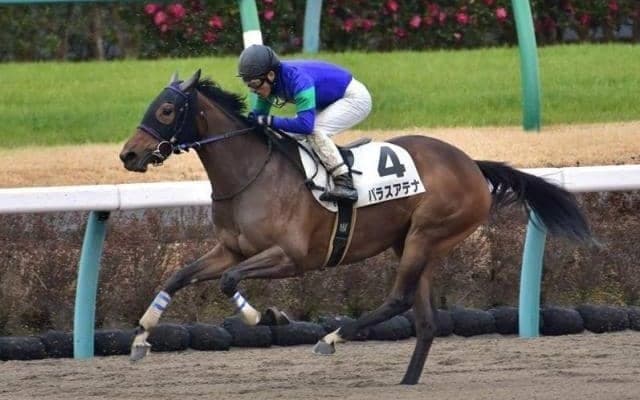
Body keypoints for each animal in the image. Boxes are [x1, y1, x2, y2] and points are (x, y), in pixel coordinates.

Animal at [119, 69, 593, 385]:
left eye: (166, 109)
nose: (129, 155)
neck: (251, 175)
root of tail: (471, 165)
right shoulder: (229, 250)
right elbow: (179, 276)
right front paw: (141, 338)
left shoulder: (290, 257)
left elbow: (229, 282)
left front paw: (266, 315)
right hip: (413, 242)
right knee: (424, 320)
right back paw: (406, 382)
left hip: (427, 235)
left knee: (398, 300)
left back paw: (332, 338)